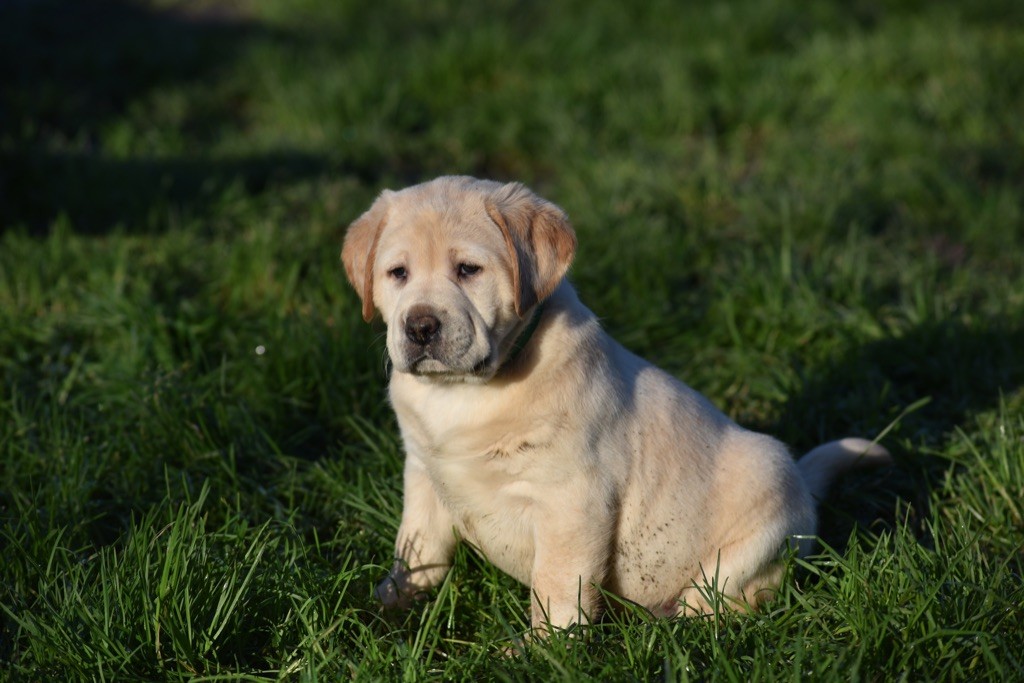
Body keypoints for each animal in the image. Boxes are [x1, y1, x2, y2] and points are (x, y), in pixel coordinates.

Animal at [342, 178, 888, 634]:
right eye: (397, 273)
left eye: (468, 270)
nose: (420, 326)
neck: (464, 392)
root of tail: (804, 488)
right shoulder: (423, 470)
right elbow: (418, 543)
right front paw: (394, 599)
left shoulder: (572, 499)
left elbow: (556, 583)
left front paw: (545, 649)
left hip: (764, 507)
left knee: (726, 596)